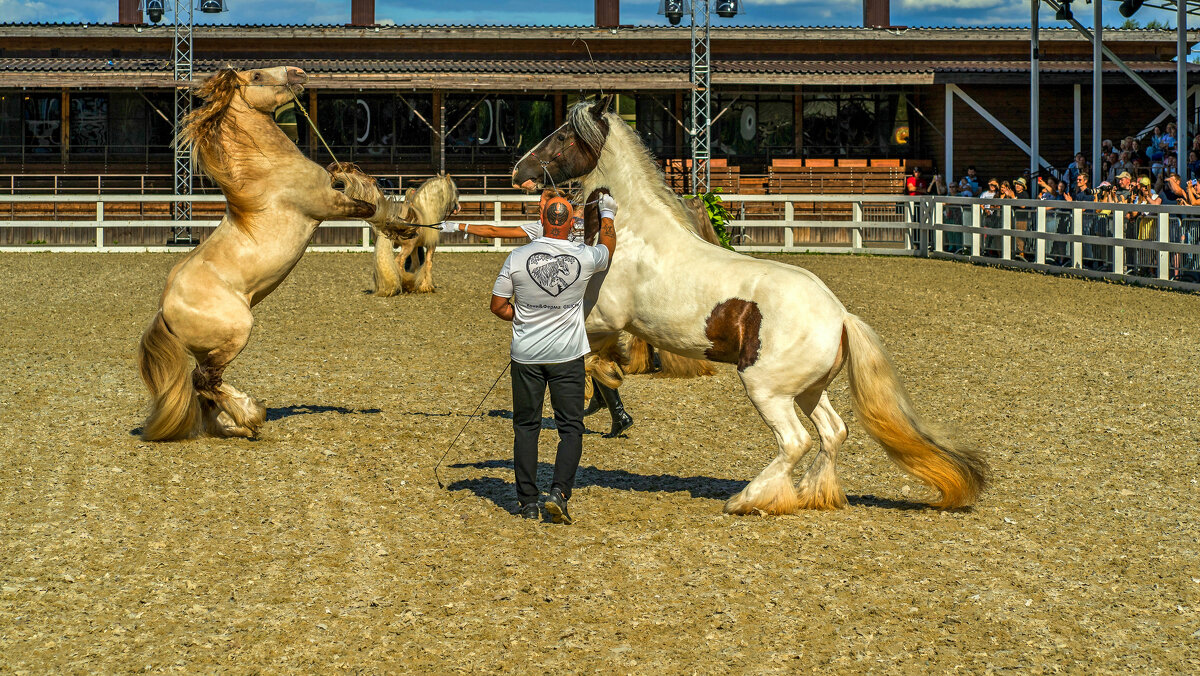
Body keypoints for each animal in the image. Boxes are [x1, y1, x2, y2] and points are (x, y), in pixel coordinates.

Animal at [136, 66, 379, 441]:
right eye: (257, 76)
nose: (298, 73)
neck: (271, 170)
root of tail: (164, 309)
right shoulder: (329, 205)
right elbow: (370, 207)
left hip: (211, 348)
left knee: (206, 391)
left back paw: (234, 425)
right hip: (237, 332)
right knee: (204, 381)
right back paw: (251, 415)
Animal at [511, 96, 988, 513]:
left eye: (561, 135)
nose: (519, 171)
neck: (632, 232)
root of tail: (840, 316)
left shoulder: (606, 317)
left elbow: (591, 356)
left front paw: (607, 384)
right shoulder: (607, 322)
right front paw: (609, 396)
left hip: (767, 389)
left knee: (796, 441)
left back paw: (748, 499)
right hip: (809, 390)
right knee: (834, 432)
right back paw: (813, 494)